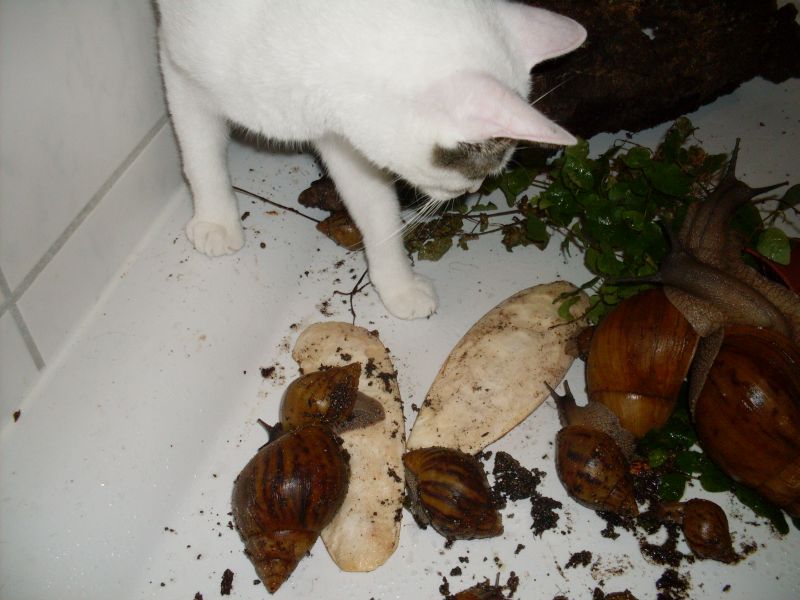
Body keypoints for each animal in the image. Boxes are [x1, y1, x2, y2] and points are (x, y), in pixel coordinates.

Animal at [155, 0, 586, 319]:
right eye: (470, 172)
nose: (476, 188)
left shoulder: (344, 137)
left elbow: (379, 215)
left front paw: (399, 285)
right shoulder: (180, 71)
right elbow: (201, 155)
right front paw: (215, 220)